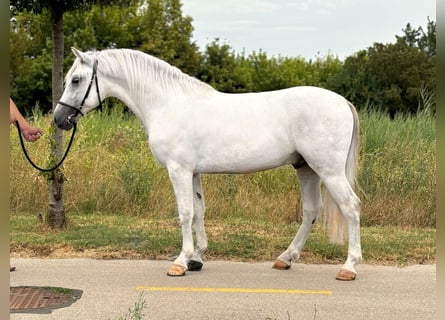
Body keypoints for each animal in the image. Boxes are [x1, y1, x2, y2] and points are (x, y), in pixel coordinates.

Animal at [54, 47, 360, 280]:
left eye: (76, 80)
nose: (60, 119)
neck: (168, 104)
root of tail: (343, 102)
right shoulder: (193, 172)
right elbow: (199, 211)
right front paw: (197, 258)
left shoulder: (178, 170)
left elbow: (185, 212)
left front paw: (180, 262)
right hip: (306, 168)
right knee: (311, 211)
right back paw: (286, 258)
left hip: (329, 171)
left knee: (351, 207)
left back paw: (349, 267)